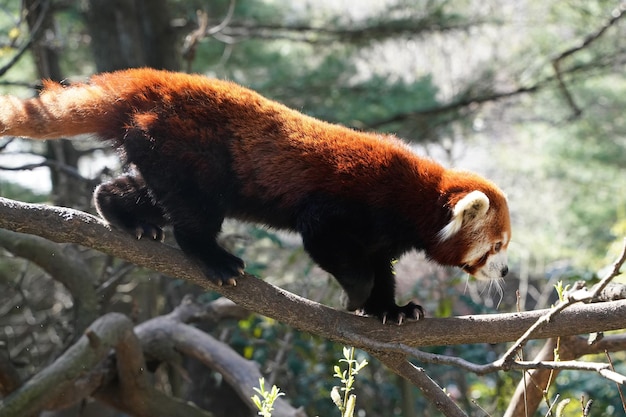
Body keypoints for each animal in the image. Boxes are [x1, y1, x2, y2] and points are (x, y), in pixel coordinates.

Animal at [0, 68, 508, 322]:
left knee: (139, 191)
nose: (505, 271)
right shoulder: (351, 203)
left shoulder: (382, 235)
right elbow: (327, 242)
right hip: (191, 152)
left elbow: (382, 268)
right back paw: (214, 258)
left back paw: (125, 214)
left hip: (161, 152)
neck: (414, 198)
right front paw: (359, 295)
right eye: (497, 246)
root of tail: (150, 82)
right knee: (194, 216)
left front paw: (392, 309)